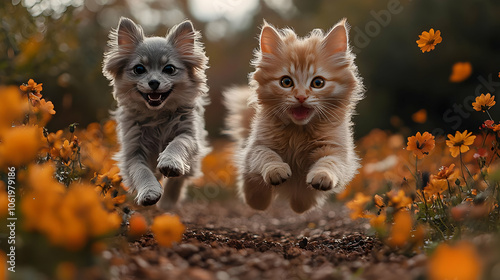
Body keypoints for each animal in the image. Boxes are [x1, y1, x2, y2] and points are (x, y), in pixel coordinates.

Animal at [102, 17, 210, 209]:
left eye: (169, 69)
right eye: (139, 69)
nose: (153, 82)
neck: (157, 115)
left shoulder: (189, 135)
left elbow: (177, 144)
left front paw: (170, 163)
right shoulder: (133, 153)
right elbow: (142, 172)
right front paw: (149, 192)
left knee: (179, 180)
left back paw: (168, 203)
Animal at [223, 19, 364, 212]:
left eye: (318, 83)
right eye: (286, 82)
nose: (301, 96)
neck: (299, 131)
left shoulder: (337, 150)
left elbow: (329, 163)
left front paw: (322, 176)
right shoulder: (256, 147)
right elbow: (266, 156)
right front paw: (276, 171)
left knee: (301, 203)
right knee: (252, 190)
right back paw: (259, 200)